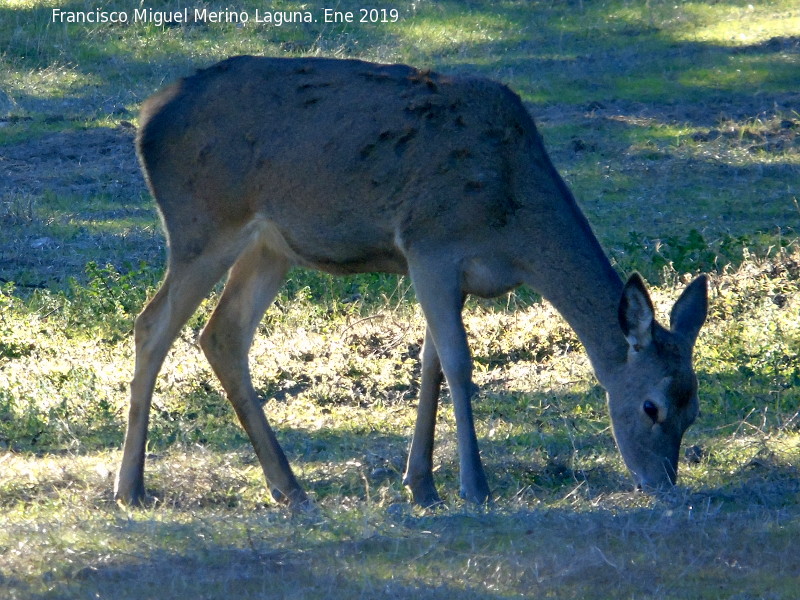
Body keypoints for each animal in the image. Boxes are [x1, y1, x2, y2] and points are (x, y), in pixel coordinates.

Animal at [114, 56, 708, 508]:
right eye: (651, 406)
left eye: (693, 410)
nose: (664, 485)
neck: (512, 221)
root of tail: (147, 117)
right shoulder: (430, 244)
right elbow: (459, 364)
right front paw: (474, 487)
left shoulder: (450, 273)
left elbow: (431, 364)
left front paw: (421, 484)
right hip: (204, 224)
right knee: (152, 325)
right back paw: (131, 488)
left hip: (269, 246)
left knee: (222, 333)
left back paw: (289, 487)